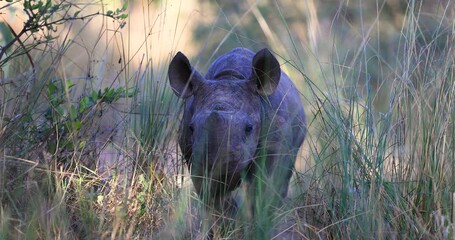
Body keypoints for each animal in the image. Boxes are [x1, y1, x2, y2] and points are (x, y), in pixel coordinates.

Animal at [167, 47, 306, 227]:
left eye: (249, 128)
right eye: (191, 128)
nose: (219, 167)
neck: (229, 78)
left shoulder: (274, 143)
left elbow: (262, 190)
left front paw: (258, 225)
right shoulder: (193, 155)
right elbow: (212, 199)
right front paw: (227, 225)